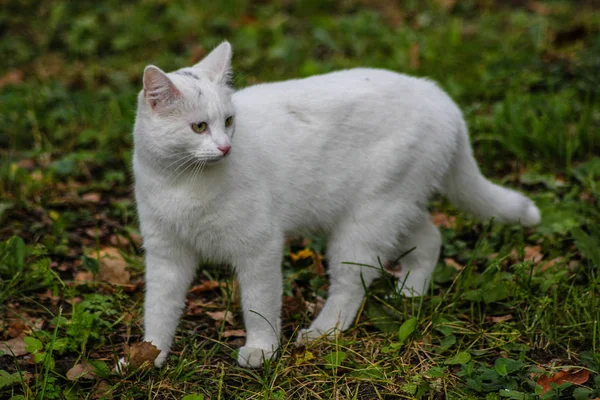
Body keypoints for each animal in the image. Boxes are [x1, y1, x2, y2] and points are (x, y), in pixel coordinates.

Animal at [130, 41, 540, 368]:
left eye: (229, 121)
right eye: (199, 127)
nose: (226, 147)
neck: (183, 182)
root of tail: (440, 96)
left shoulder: (259, 248)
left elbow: (259, 305)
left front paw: (262, 350)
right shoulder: (166, 253)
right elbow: (159, 307)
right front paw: (149, 356)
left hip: (366, 220)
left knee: (351, 284)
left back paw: (323, 332)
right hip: (395, 206)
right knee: (431, 236)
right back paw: (411, 291)